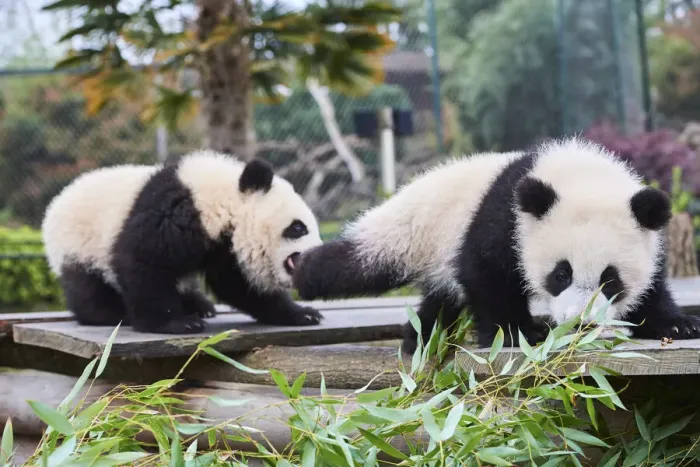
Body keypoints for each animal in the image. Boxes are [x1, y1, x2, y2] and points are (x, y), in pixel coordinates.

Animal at [41, 149, 324, 334]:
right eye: (298, 227)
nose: (316, 254)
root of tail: (56, 203)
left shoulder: (224, 248)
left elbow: (238, 284)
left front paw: (302, 313)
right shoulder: (172, 213)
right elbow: (144, 264)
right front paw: (175, 323)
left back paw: (198, 304)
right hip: (80, 245)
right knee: (89, 286)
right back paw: (110, 313)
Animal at [291, 137, 700, 353]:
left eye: (610, 280)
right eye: (561, 274)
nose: (580, 323)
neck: (581, 174)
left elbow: (652, 287)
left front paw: (677, 325)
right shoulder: (506, 217)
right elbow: (487, 273)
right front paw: (518, 334)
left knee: (440, 298)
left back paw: (421, 336)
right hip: (420, 231)